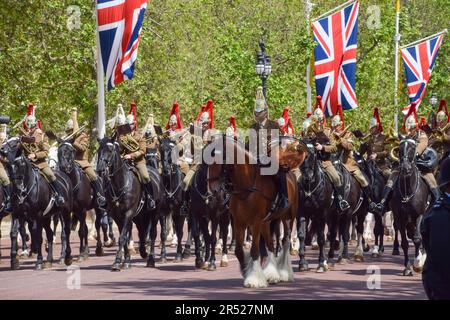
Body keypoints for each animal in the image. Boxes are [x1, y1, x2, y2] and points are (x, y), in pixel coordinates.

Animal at [207, 135, 306, 288]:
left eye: (219, 159)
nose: (214, 192)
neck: (247, 187)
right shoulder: (239, 222)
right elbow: (239, 251)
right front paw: (245, 270)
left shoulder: (255, 223)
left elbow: (254, 250)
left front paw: (254, 279)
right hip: (267, 222)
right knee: (271, 244)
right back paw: (272, 274)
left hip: (288, 218)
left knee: (285, 240)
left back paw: (284, 272)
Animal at [298, 140, 336, 272]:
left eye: (314, 156)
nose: (307, 177)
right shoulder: (302, 213)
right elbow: (301, 235)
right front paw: (302, 262)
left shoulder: (321, 215)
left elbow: (321, 238)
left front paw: (321, 264)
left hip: (333, 216)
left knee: (331, 235)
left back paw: (329, 260)